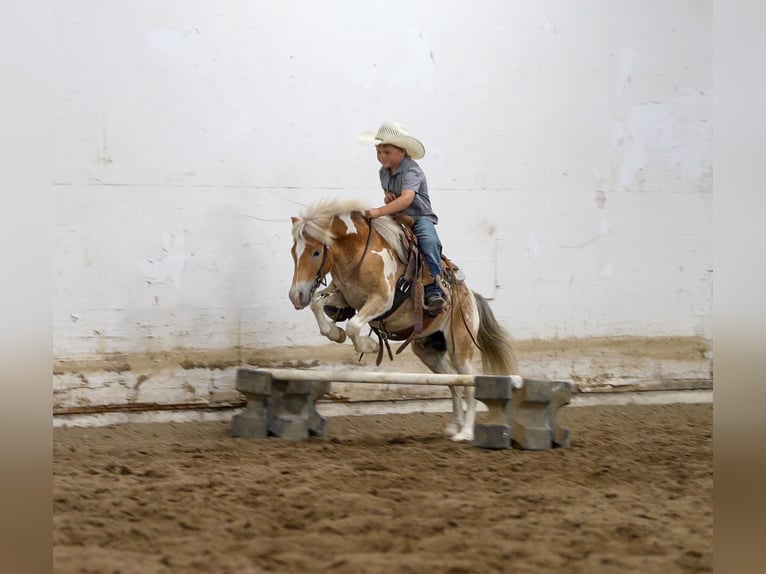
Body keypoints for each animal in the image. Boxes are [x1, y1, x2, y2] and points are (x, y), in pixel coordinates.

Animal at [288, 198, 518, 441]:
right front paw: (335, 333)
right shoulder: (343, 296)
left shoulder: (382, 300)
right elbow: (318, 306)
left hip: (461, 348)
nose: (296, 295)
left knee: (468, 384)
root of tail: (471, 296)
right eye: (293, 251)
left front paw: (369, 345)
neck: (360, 252)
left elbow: (353, 326)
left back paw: (465, 432)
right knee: (452, 382)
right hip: (429, 352)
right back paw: (455, 426)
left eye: (315, 252)